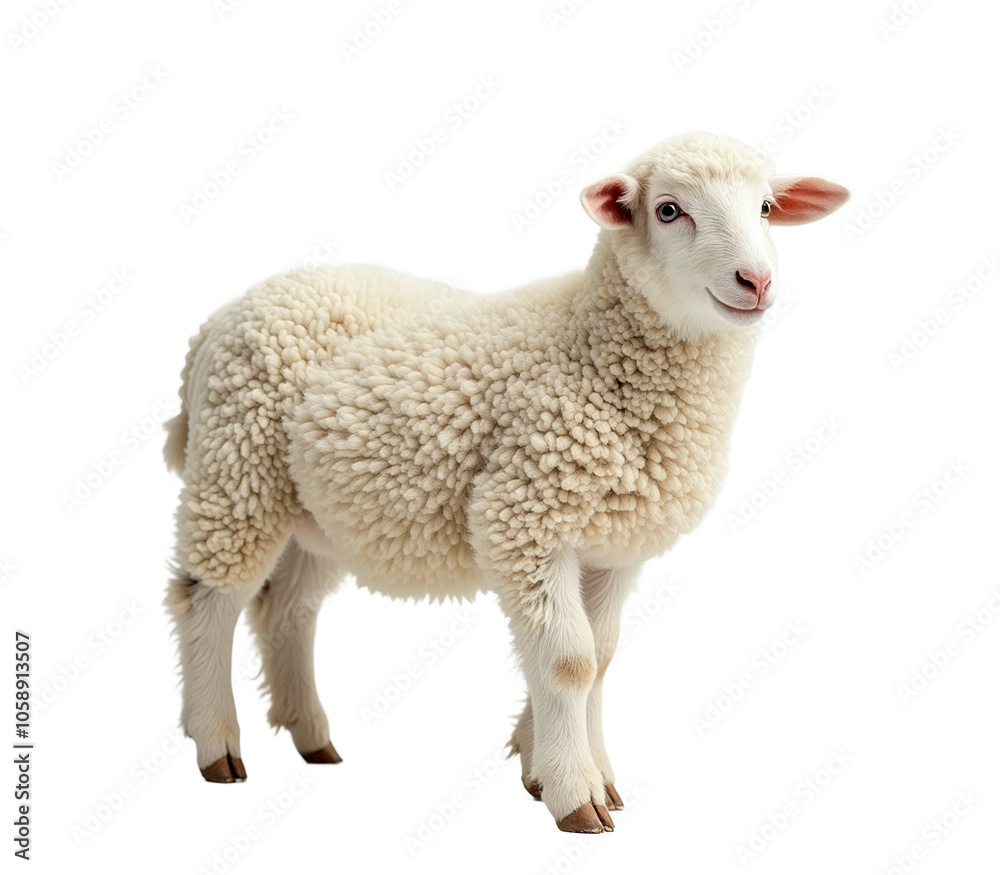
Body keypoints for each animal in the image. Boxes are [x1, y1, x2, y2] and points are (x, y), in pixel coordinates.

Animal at [164, 131, 849, 834]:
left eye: (766, 207)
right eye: (667, 211)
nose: (756, 281)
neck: (588, 347)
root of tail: (218, 320)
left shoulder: (614, 545)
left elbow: (600, 656)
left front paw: (560, 766)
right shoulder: (524, 515)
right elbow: (569, 660)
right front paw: (575, 792)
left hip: (315, 512)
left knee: (287, 610)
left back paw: (311, 736)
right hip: (236, 467)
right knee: (207, 598)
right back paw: (217, 744)